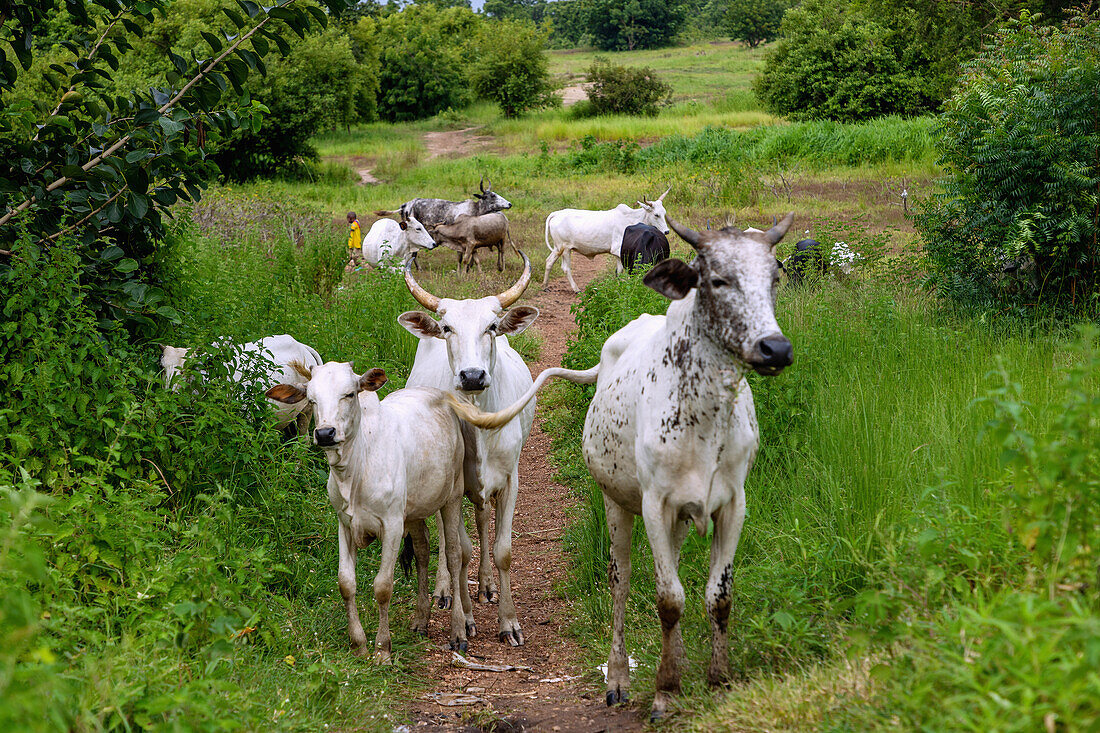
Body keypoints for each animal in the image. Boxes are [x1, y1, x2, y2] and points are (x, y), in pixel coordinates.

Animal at [268, 358, 475, 655]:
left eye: (349, 394)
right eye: (312, 399)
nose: (325, 433)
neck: (355, 469)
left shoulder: (391, 525)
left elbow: (383, 587)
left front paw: (382, 649)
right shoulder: (344, 523)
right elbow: (346, 583)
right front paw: (359, 645)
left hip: (452, 496)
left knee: (454, 555)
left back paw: (458, 630)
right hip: (414, 510)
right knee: (422, 550)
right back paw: (420, 620)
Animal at [398, 250, 539, 647]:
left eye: (491, 326)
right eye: (448, 328)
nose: (472, 376)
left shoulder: (510, 481)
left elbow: (502, 550)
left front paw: (509, 622)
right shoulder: (456, 487)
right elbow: (459, 550)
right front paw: (467, 620)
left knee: (482, 519)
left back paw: (487, 586)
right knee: (447, 541)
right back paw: (445, 590)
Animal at [446, 214, 800, 717]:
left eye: (773, 279)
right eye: (717, 279)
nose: (775, 349)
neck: (705, 422)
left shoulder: (733, 504)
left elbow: (719, 596)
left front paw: (717, 681)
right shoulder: (654, 504)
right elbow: (668, 599)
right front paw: (665, 691)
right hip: (619, 504)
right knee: (622, 581)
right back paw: (618, 678)